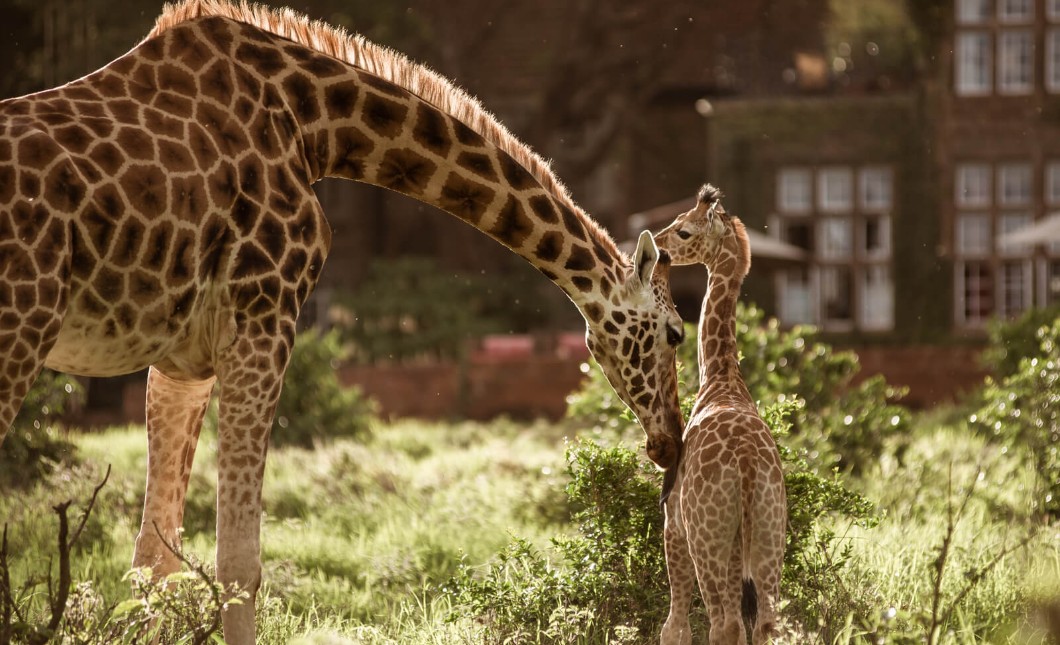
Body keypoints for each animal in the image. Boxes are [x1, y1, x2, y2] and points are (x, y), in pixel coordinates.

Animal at [0, 2, 686, 640]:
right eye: (676, 333)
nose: (670, 442)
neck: (318, 125)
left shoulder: (180, 362)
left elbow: (154, 559)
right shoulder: (264, 314)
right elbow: (239, 563)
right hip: (22, 331)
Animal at [652, 183, 788, 640]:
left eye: (684, 230)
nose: (657, 248)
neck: (722, 378)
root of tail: (746, 468)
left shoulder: (674, 523)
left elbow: (674, 626)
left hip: (707, 538)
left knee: (721, 623)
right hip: (768, 534)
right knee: (764, 623)